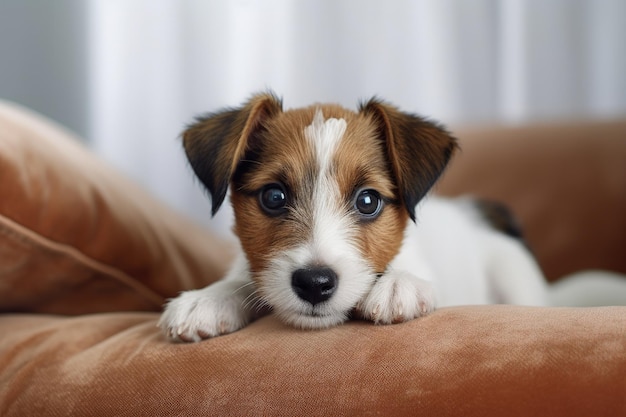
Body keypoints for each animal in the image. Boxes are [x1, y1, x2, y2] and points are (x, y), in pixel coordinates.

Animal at [157, 92, 544, 342]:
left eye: (368, 200)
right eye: (273, 197)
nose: (314, 283)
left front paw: (398, 283)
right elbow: (242, 280)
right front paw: (208, 298)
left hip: (514, 275)